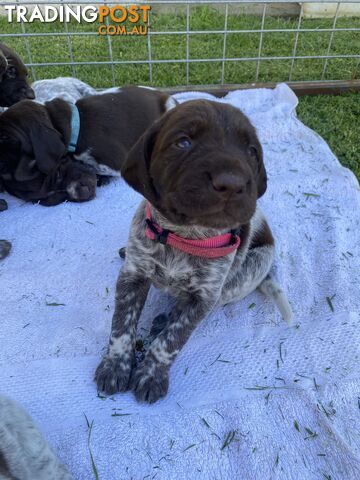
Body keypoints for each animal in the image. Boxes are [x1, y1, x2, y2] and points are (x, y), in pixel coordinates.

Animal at [95, 99, 292, 404]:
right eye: (183, 142)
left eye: (251, 151)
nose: (232, 183)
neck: (184, 237)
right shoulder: (133, 275)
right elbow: (122, 324)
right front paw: (116, 365)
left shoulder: (204, 295)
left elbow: (173, 338)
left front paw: (151, 373)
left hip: (249, 271)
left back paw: (165, 318)